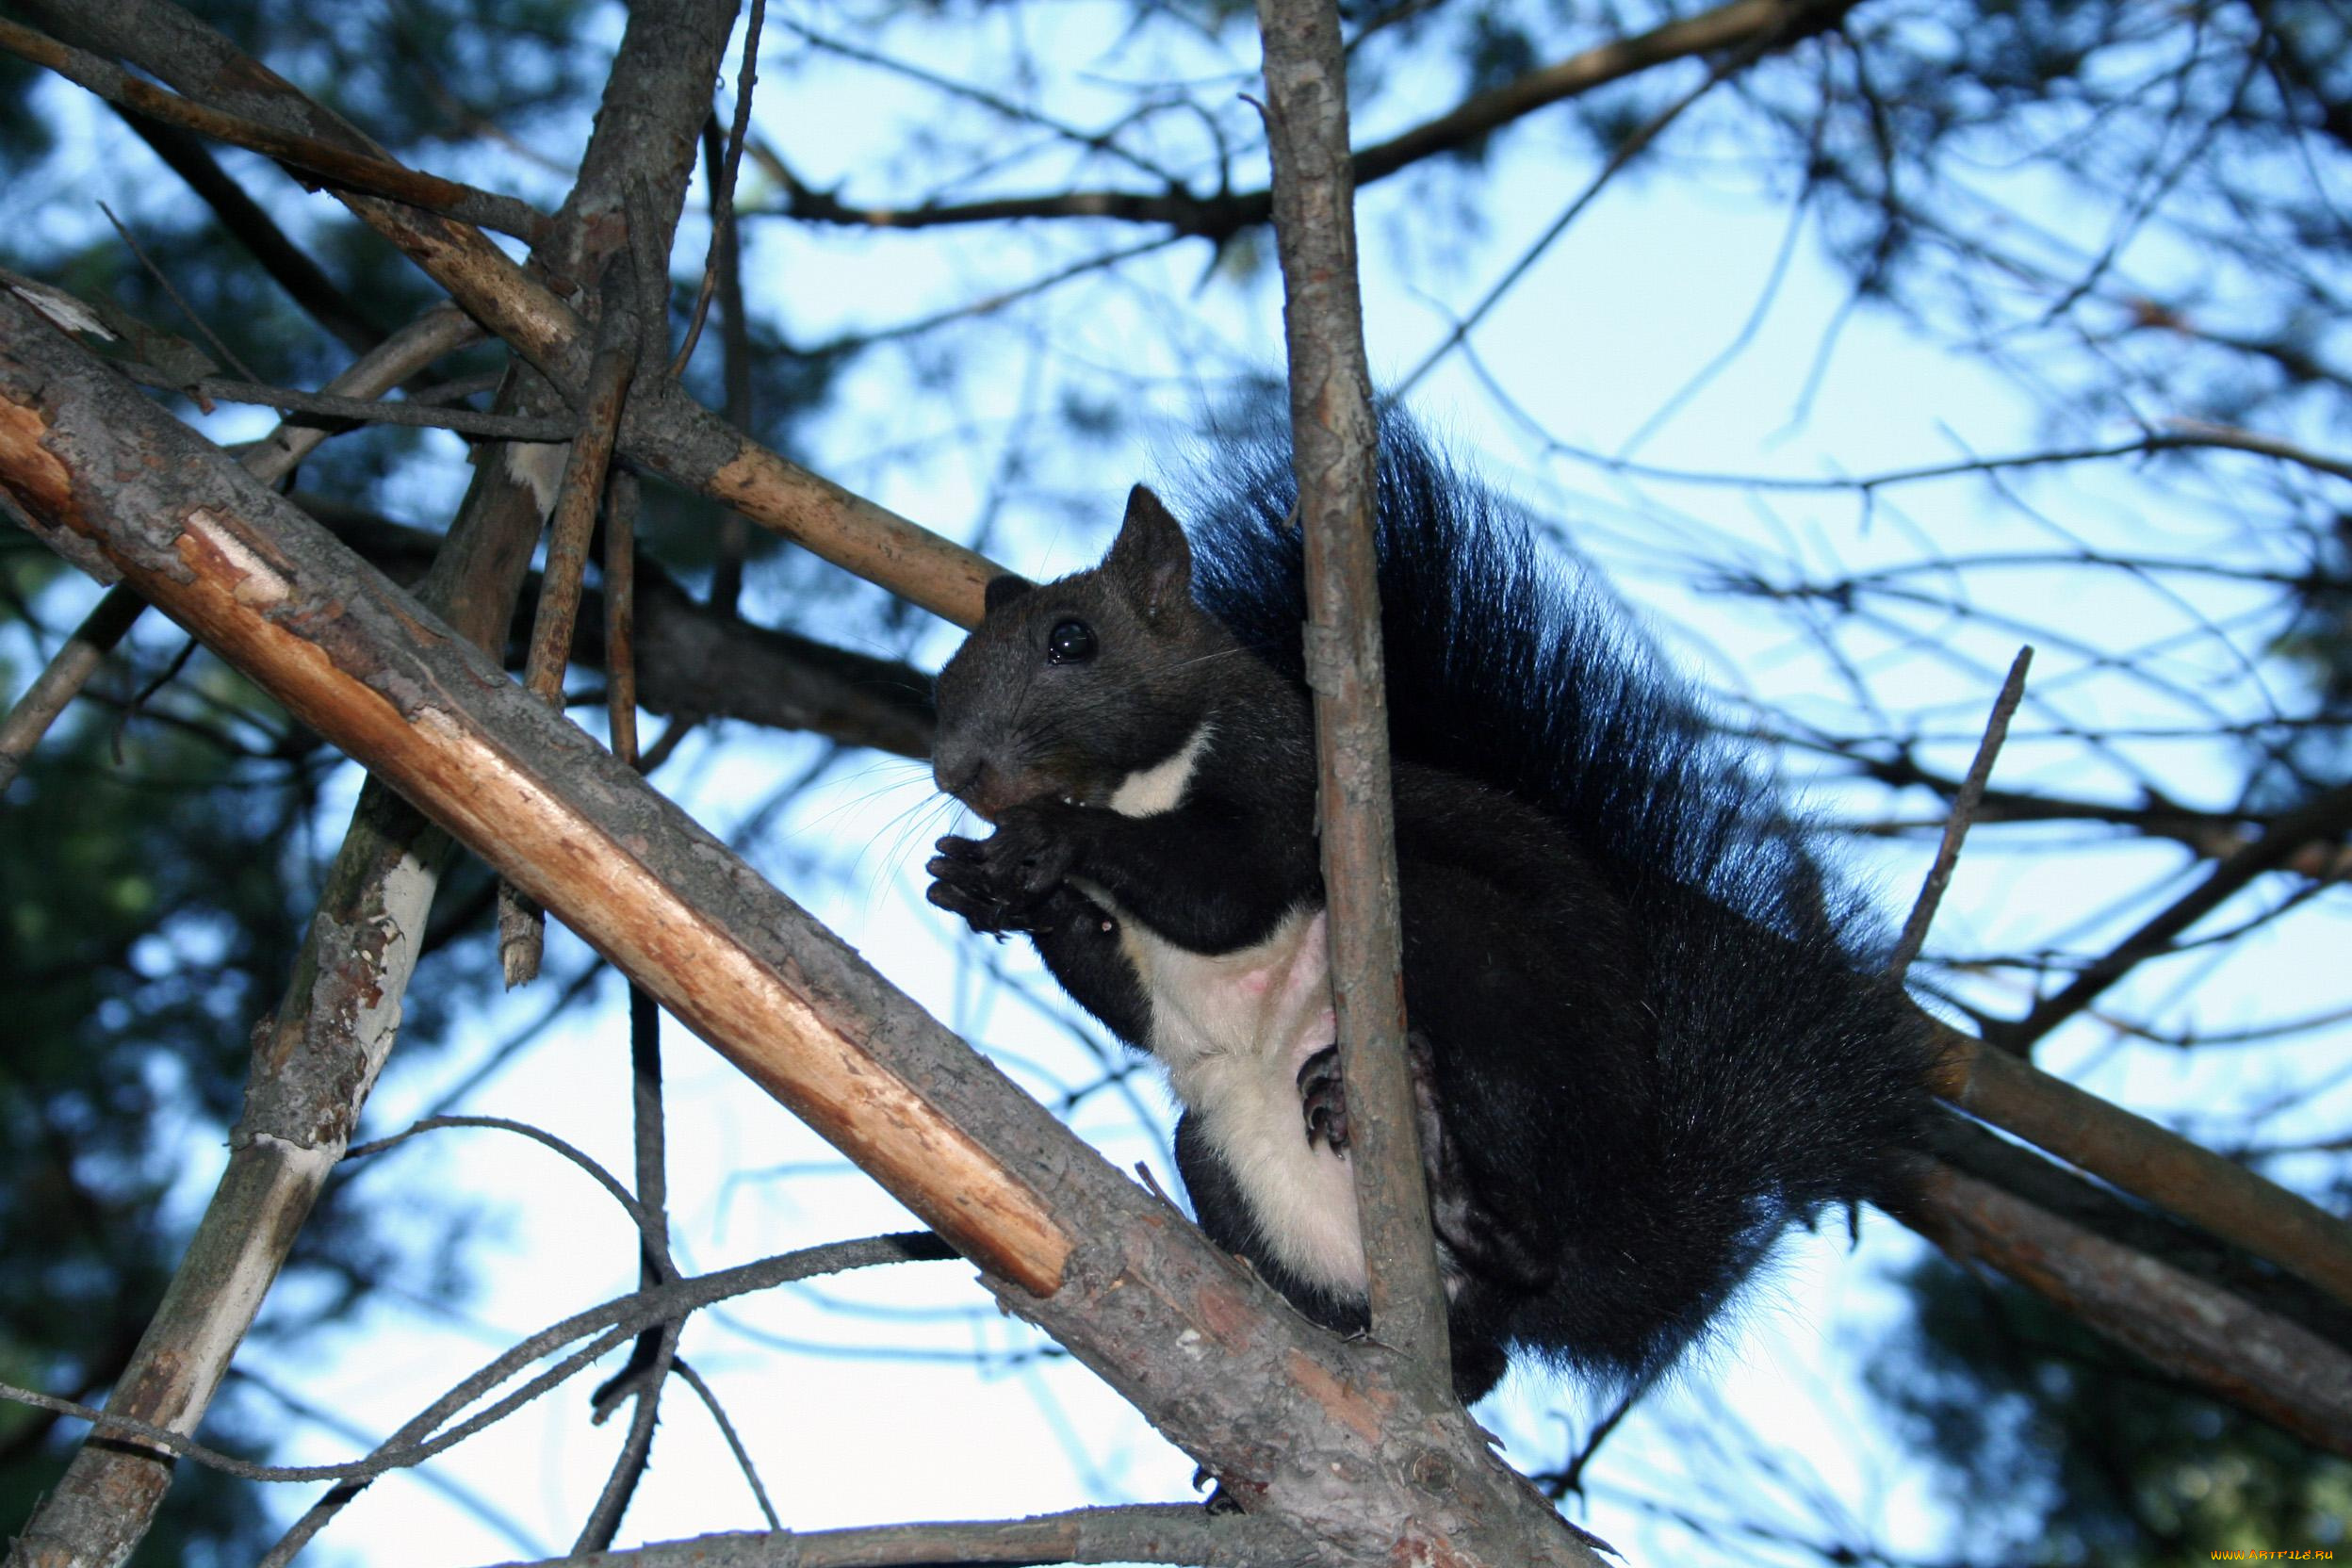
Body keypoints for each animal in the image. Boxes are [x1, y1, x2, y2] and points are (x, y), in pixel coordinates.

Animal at [926, 423, 1937, 1400]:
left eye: (1071, 640)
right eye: (945, 676)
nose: (955, 770)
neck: (1137, 784)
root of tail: (1619, 1210)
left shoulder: (1285, 783)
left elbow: (1227, 894)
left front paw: (1049, 838)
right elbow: (1123, 993)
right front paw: (985, 886)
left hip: (1478, 983)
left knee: (1529, 1240)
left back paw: (1462, 1190)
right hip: (1227, 1154)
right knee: (1476, 1356)